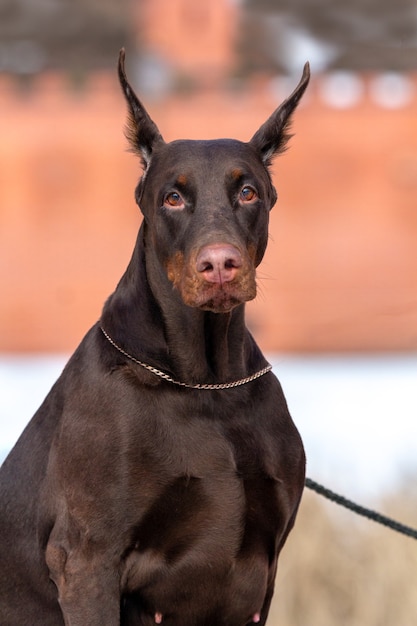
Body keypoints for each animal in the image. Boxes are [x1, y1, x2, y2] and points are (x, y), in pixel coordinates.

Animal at [0, 50, 308, 624]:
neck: (208, 387)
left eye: (247, 191)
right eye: (173, 198)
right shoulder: (87, 560)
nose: (219, 266)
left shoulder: (263, 574)